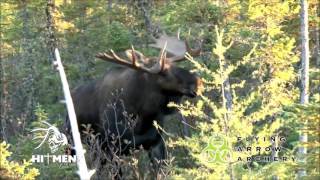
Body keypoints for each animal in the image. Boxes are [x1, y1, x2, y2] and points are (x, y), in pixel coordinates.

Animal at [64, 33, 202, 174]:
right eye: (163, 72)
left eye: (174, 64)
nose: (198, 82)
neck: (143, 114)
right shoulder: (111, 149)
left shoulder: (156, 143)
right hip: (72, 142)